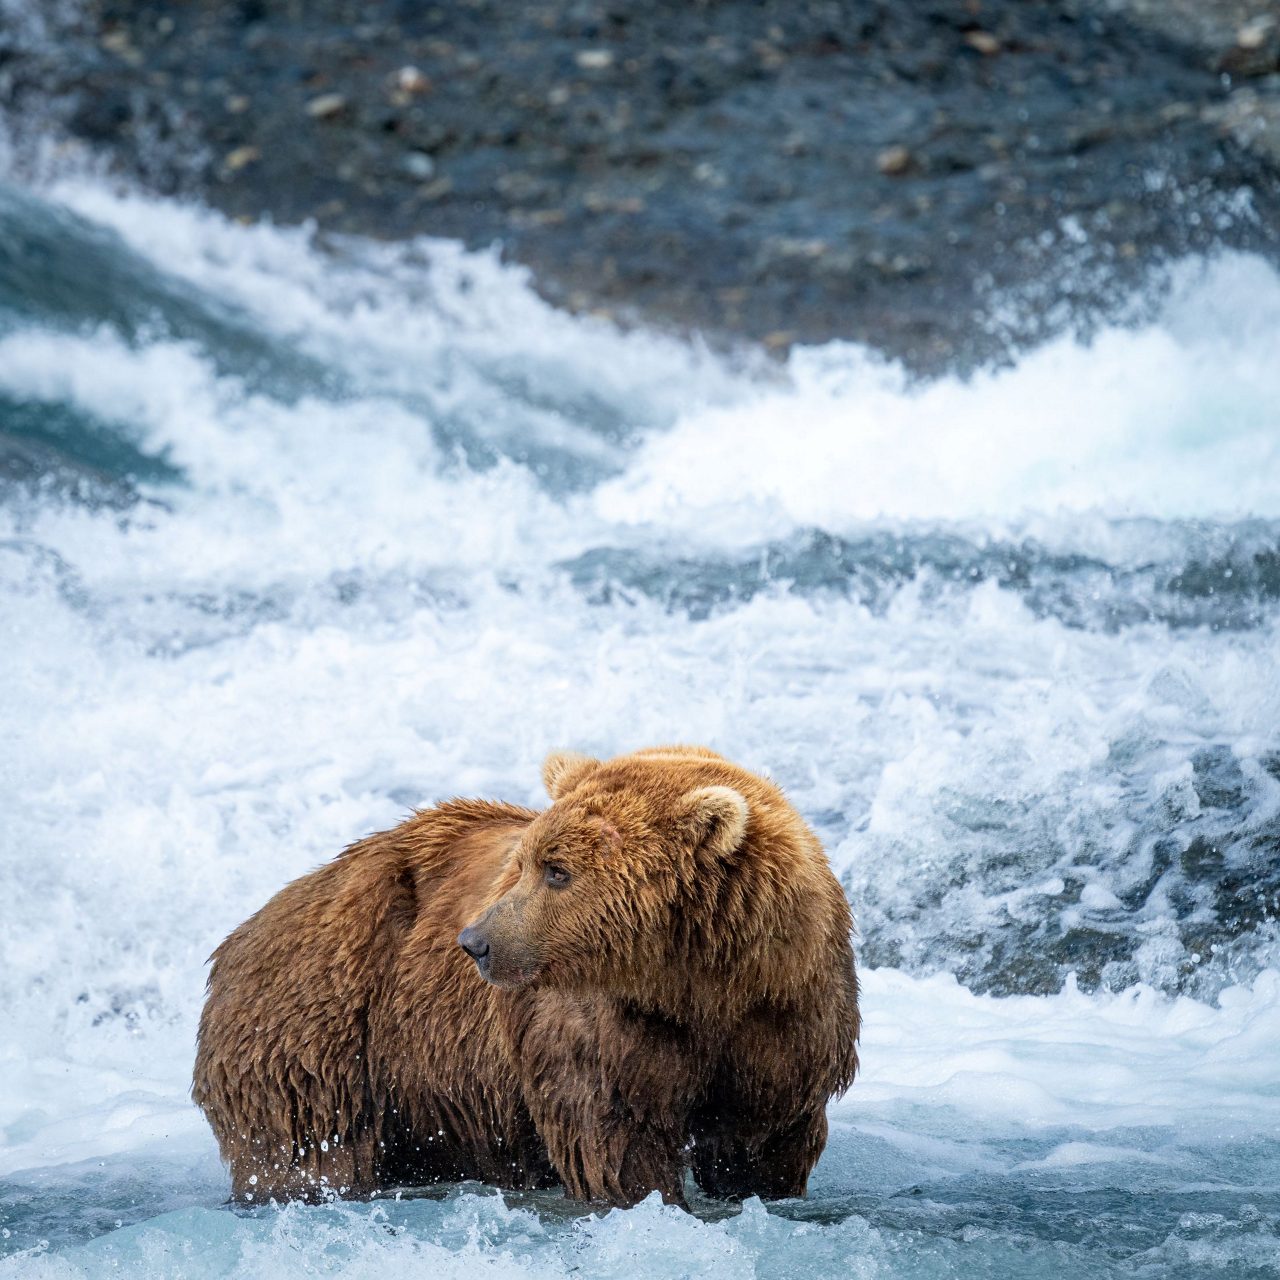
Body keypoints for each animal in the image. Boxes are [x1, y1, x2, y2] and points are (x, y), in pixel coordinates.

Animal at [192, 745, 860, 1207]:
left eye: (557, 870)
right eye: (524, 862)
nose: (473, 942)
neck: (695, 982)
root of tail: (237, 939)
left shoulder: (786, 1017)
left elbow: (763, 1139)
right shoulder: (598, 1030)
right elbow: (616, 1137)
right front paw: (650, 1200)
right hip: (322, 1033)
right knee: (307, 1148)